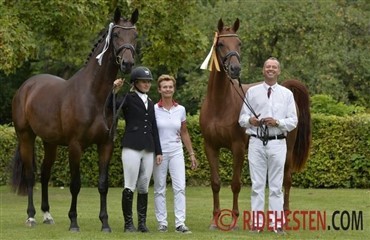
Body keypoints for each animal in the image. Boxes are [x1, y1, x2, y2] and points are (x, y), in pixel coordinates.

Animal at [11, 7, 139, 232]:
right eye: (116, 35)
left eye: (135, 35)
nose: (127, 63)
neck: (93, 96)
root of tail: (26, 87)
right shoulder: (75, 146)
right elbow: (75, 185)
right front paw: (73, 222)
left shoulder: (106, 144)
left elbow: (103, 184)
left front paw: (105, 223)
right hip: (26, 137)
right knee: (30, 175)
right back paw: (31, 216)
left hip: (50, 143)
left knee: (44, 174)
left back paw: (47, 215)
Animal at [198, 18, 310, 229]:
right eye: (220, 44)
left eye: (239, 43)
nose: (235, 69)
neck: (219, 104)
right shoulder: (210, 147)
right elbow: (215, 183)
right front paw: (215, 220)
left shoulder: (238, 148)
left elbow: (235, 183)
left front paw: (234, 219)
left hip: (288, 150)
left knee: (286, 180)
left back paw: (284, 216)